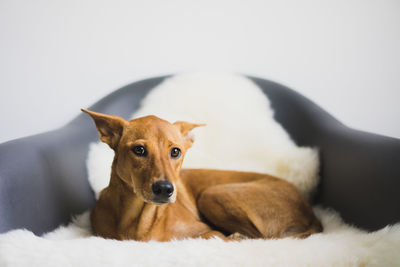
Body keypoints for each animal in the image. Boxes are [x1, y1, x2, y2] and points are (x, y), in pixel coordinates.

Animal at [83, 109, 322, 243]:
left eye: (175, 151)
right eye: (139, 150)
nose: (165, 189)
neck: (137, 218)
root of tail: (311, 214)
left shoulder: (205, 230)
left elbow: (214, 235)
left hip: (213, 193)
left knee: (259, 237)